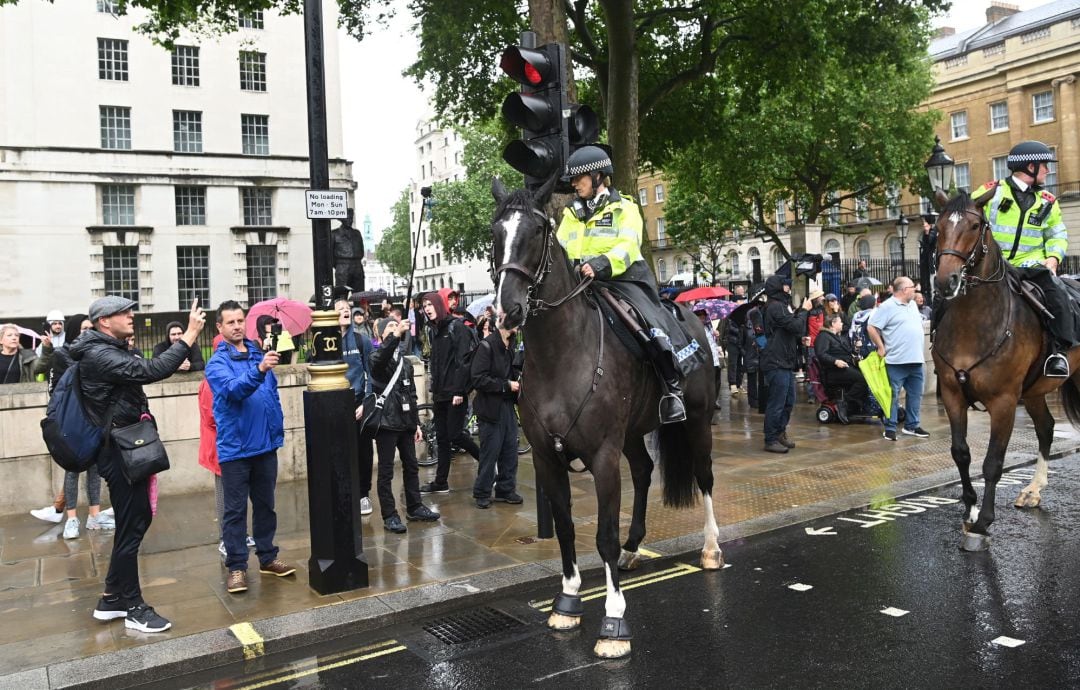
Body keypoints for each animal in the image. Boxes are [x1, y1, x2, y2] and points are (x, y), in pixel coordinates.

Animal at [494, 177, 721, 656]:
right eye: (495, 232)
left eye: (537, 231)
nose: (508, 311)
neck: (561, 355)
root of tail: (690, 314)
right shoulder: (545, 456)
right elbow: (564, 527)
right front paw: (567, 601)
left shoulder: (601, 454)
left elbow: (603, 534)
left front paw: (614, 619)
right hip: (632, 433)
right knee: (644, 470)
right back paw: (635, 547)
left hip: (695, 420)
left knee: (705, 476)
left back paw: (711, 548)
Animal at [928, 187, 1080, 550]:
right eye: (937, 228)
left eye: (975, 225)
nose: (946, 281)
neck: (973, 322)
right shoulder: (953, 394)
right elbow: (961, 453)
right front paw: (969, 509)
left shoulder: (1004, 402)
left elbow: (993, 462)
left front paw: (983, 522)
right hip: (1036, 390)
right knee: (1046, 428)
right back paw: (1034, 490)